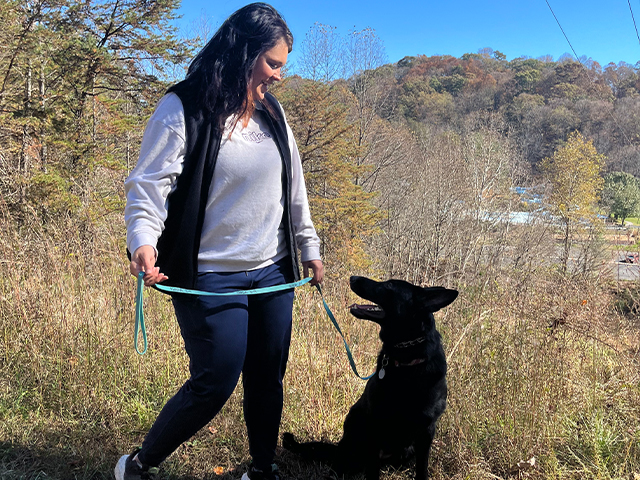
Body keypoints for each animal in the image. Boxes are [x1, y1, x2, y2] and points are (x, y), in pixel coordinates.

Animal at [282, 276, 458, 480]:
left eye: (389, 285)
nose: (353, 278)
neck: (406, 360)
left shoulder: (427, 431)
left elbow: (422, 468)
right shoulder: (375, 424)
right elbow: (372, 470)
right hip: (354, 427)